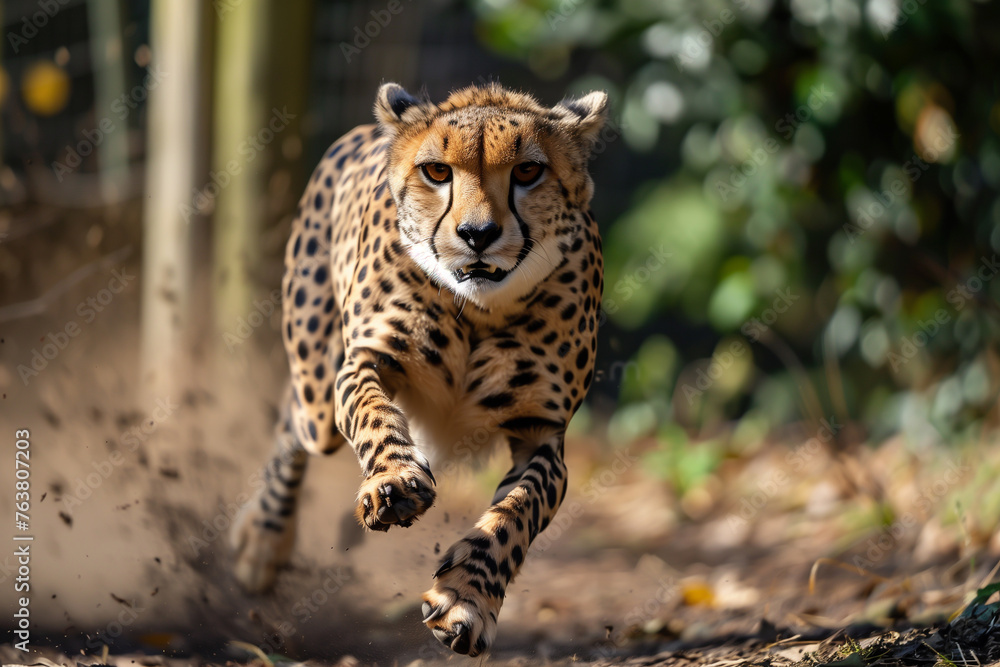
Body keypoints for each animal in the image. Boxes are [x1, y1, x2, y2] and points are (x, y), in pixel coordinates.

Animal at [229, 81, 607, 657]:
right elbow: (373, 414)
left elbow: (518, 509)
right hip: (316, 397)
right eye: (436, 172)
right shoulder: (366, 359)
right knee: (295, 422)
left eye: (527, 171)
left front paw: (467, 598)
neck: (479, 309)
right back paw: (263, 539)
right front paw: (394, 481)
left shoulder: (542, 432)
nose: (477, 233)